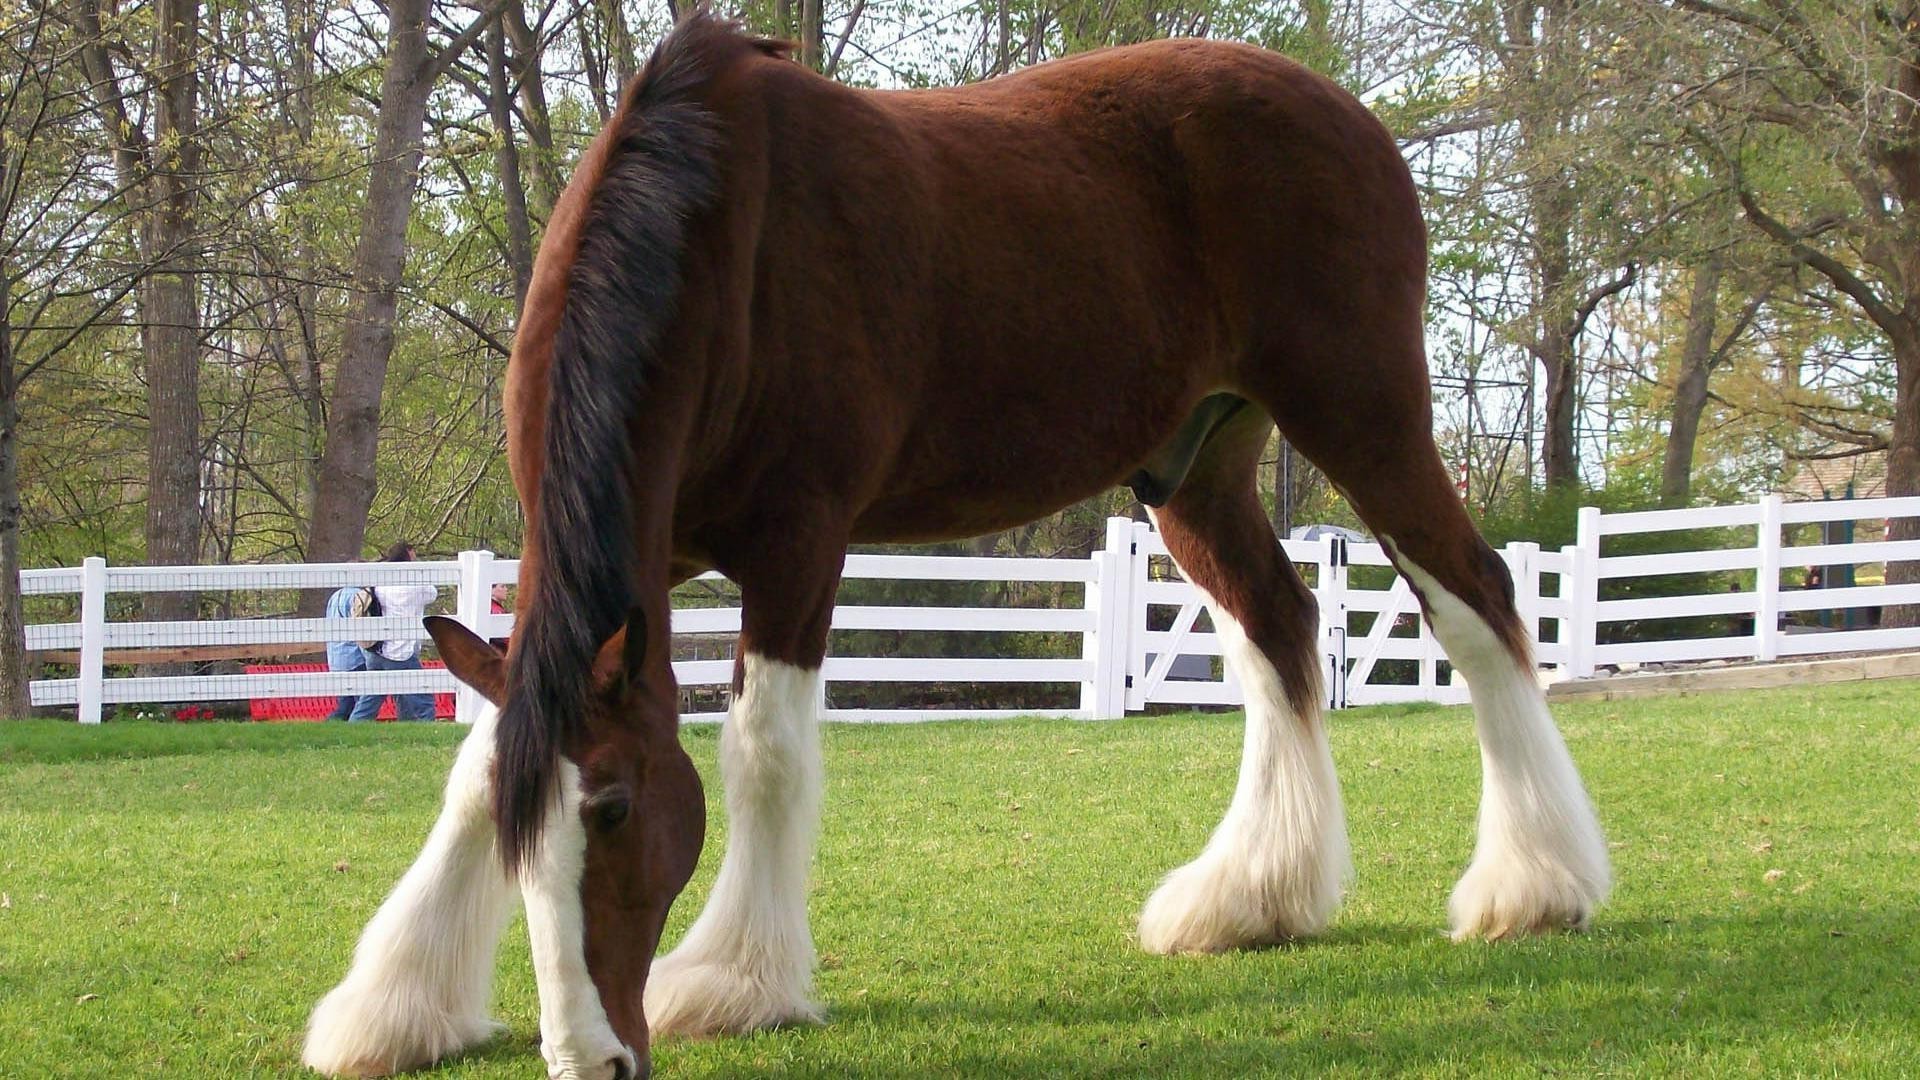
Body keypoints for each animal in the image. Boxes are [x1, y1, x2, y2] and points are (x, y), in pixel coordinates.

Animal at [303, 14, 1605, 1076]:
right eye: (525, 841)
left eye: (618, 812)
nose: (593, 1058)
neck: (717, 242)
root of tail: (1348, 114)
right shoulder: (616, 568)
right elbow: (480, 762)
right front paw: (395, 1008)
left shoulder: (798, 543)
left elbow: (764, 752)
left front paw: (734, 981)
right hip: (1197, 465)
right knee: (1280, 629)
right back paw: (1252, 901)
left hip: (1364, 410)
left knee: (1476, 601)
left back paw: (1536, 885)